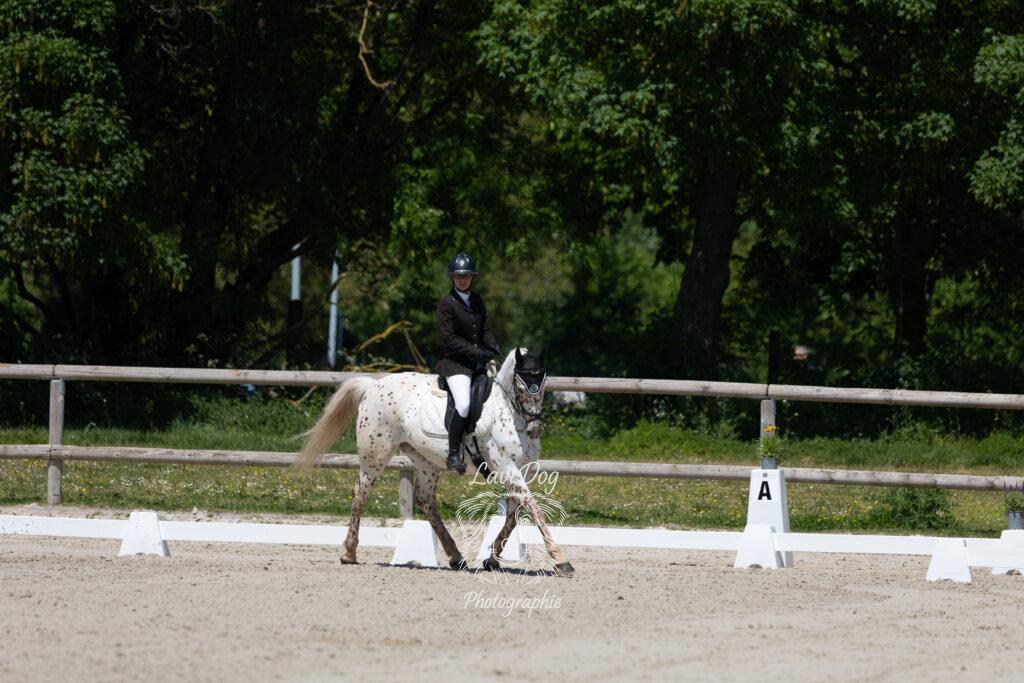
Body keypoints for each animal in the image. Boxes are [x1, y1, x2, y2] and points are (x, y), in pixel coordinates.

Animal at [295, 347, 575, 577]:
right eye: (521, 383)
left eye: (543, 382)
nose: (535, 428)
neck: (510, 411)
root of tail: (373, 386)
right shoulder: (506, 468)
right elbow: (534, 509)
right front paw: (561, 560)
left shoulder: (520, 471)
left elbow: (514, 516)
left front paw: (492, 560)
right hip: (375, 456)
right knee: (360, 495)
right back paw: (349, 553)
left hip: (423, 460)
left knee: (426, 501)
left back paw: (456, 557)